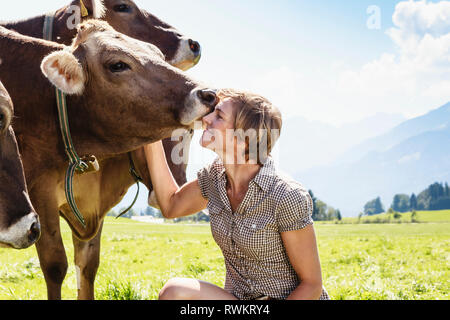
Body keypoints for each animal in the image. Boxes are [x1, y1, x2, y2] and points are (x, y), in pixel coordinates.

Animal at [0, 21, 218, 298]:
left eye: (157, 54)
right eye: (117, 65)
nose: (208, 94)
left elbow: (88, 265)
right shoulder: (39, 193)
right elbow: (55, 265)